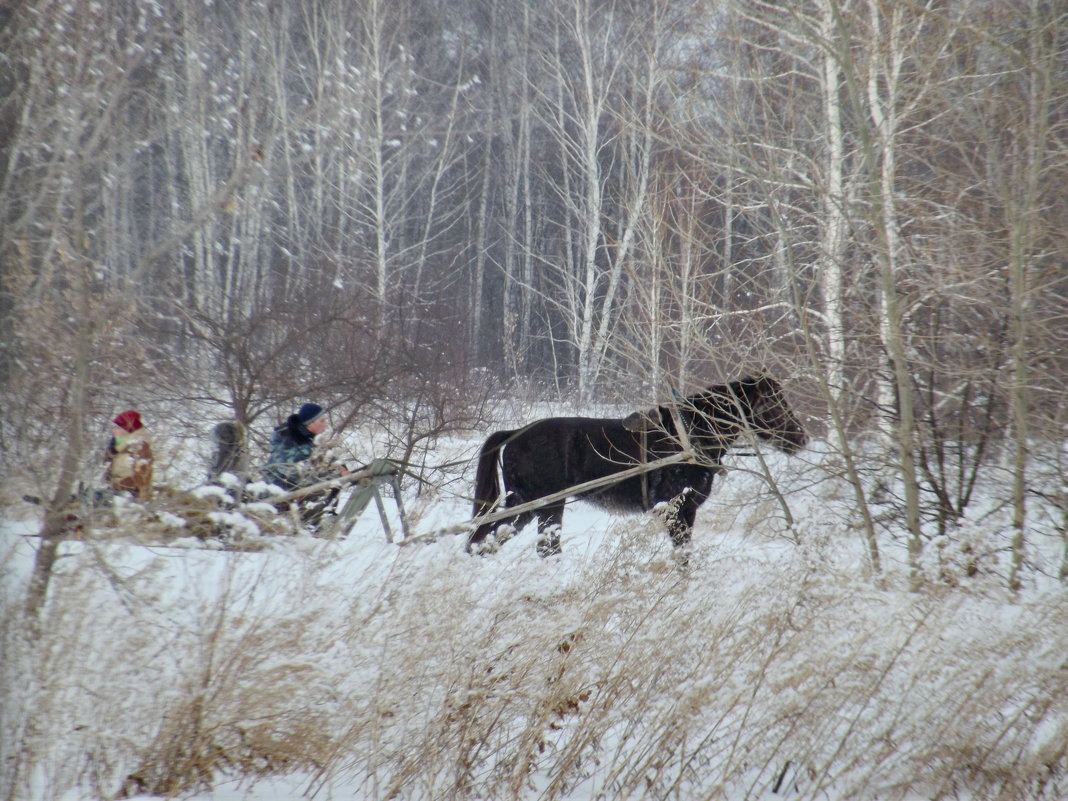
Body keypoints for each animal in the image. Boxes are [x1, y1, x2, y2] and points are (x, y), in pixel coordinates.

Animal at [469, 375, 807, 559]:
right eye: (773, 403)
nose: (800, 438)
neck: (691, 434)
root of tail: (514, 433)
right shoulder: (675, 510)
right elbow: (681, 557)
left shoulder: (688, 512)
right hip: (539, 504)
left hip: (534, 507)